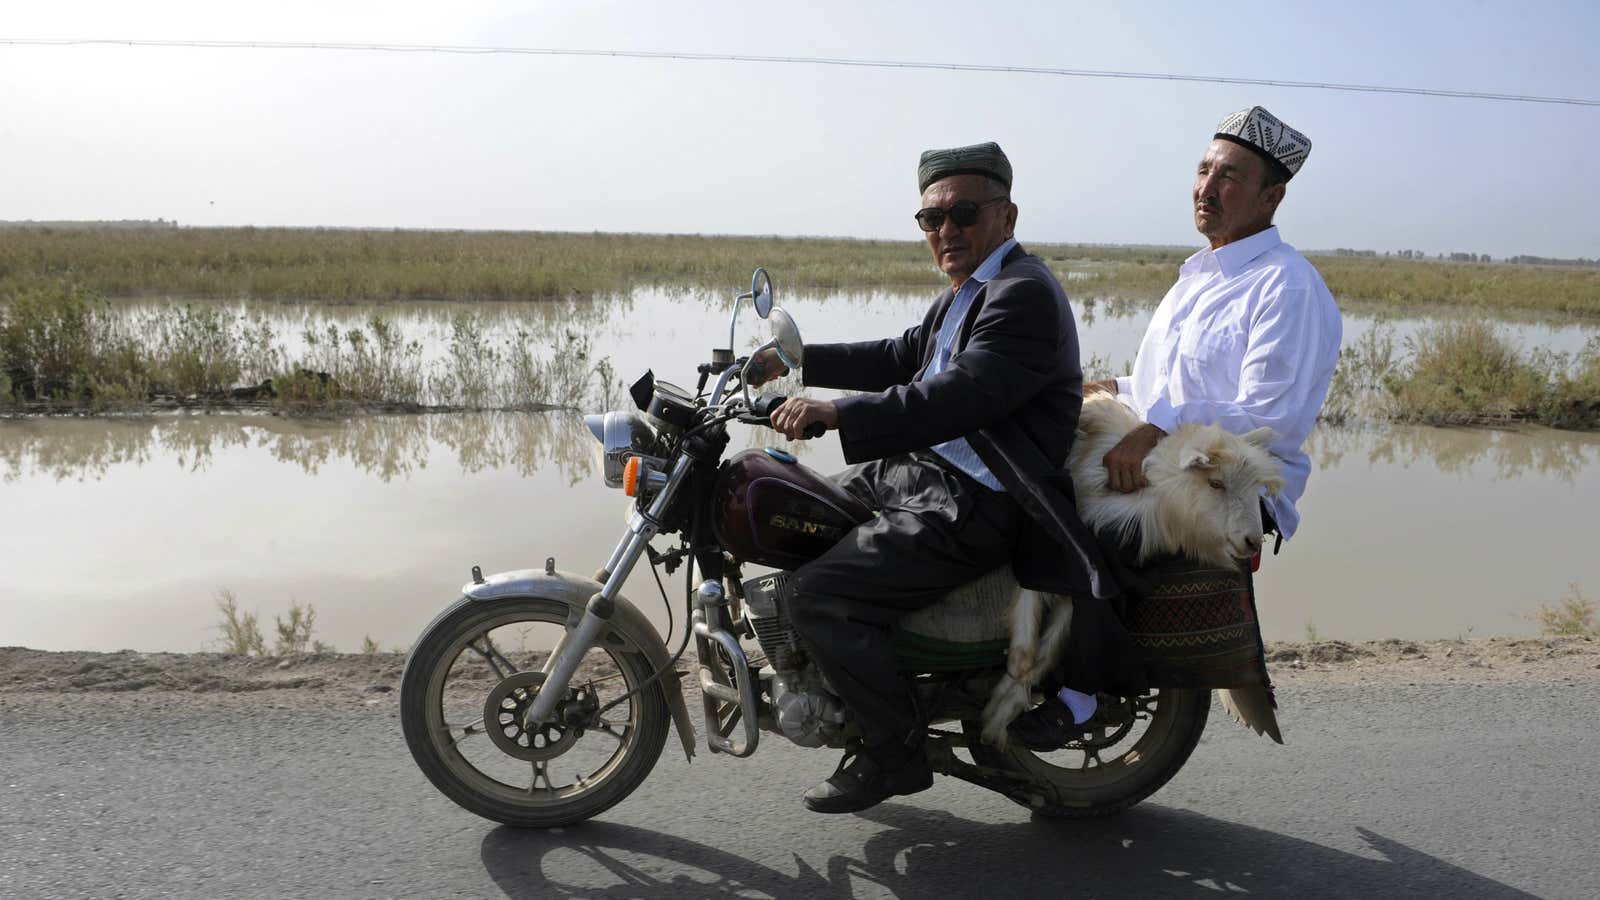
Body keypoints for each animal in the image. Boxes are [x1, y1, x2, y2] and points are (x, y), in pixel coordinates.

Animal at [972, 392, 1286, 743]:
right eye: (1216, 483)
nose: (1252, 541)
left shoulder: (1087, 570)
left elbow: (1053, 640)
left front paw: (1000, 712)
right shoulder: (1048, 538)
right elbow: (1030, 607)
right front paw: (1007, 688)